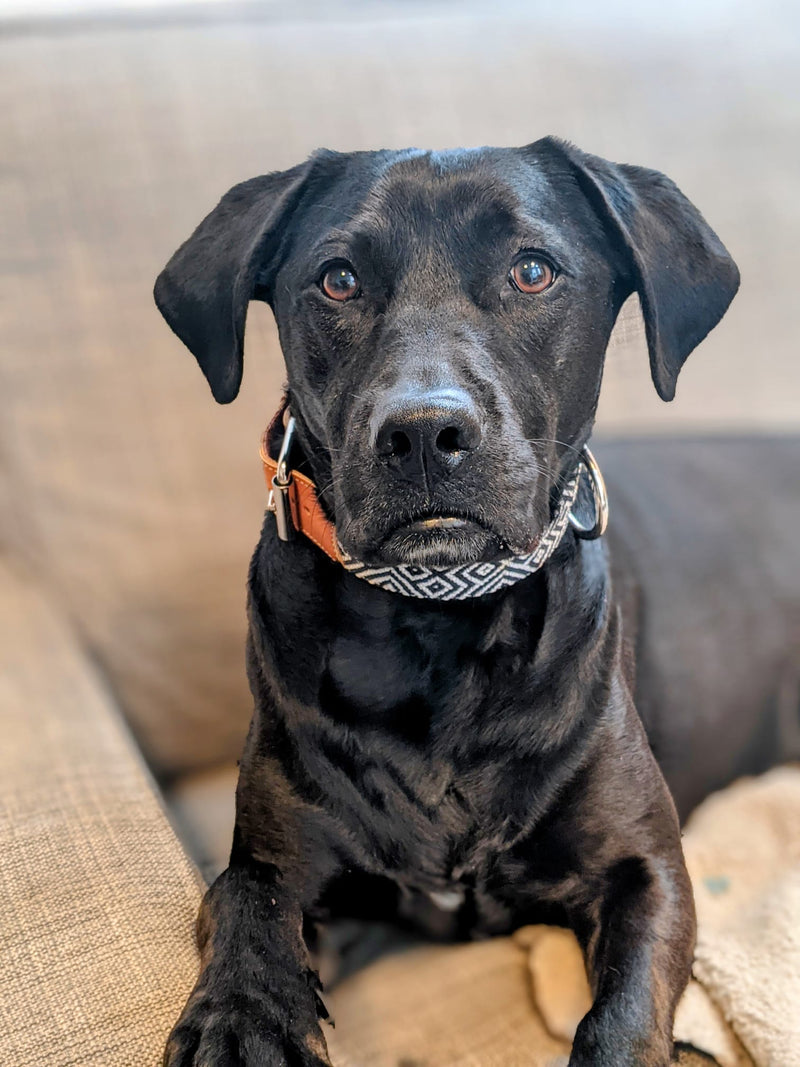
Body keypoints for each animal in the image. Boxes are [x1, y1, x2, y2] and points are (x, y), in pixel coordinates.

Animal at [153, 141, 797, 1067]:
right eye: (338, 280)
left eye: (532, 271)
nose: (424, 432)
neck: (440, 624)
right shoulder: (291, 855)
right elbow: (247, 895)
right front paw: (243, 1020)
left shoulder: (646, 871)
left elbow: (621, 1014)